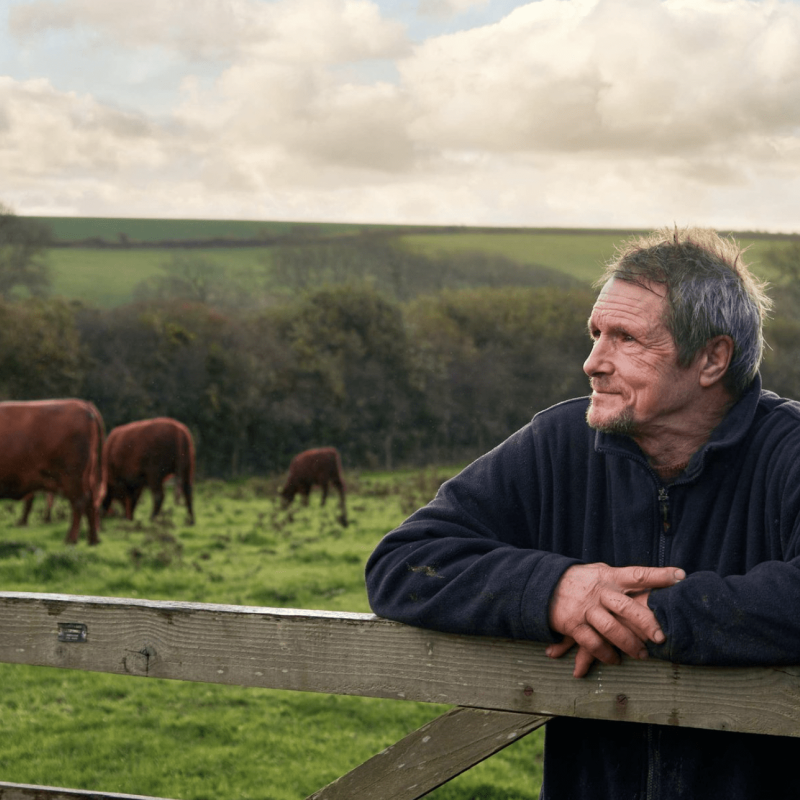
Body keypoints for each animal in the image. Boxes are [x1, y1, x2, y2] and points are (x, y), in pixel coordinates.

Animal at [0, 398, 104, 544]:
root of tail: (83, 404)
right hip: (85, 476)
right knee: (91, 501)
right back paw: (93, 539)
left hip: (72, 476)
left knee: (79, 501)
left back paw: (71, 539)